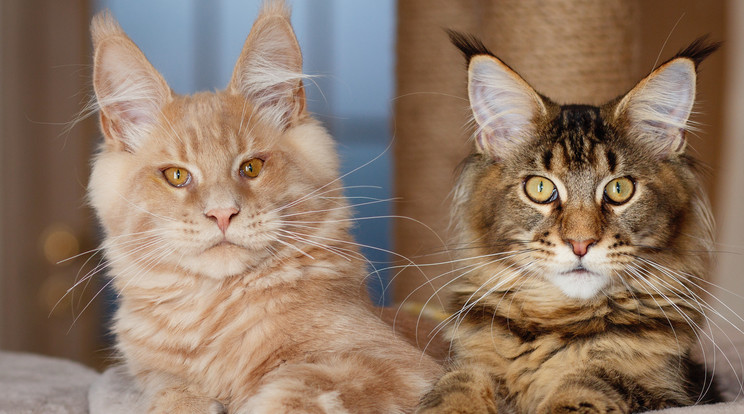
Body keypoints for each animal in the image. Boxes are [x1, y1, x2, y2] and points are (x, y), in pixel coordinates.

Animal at [91, 1, 444, 412]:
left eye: (251, 168)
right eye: (177, 176)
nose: (222, 213)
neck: (213, 317)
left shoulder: (395, 365)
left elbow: (291, 394)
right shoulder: (155, 376)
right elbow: (172, 394)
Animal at [416, 33, 716, 414]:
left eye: (620, 189)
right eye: (540, 188)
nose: (580, 243)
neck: (555, 328)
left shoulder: (669, 393)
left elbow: (593, 382)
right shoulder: (470, 359)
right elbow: (458, 382)